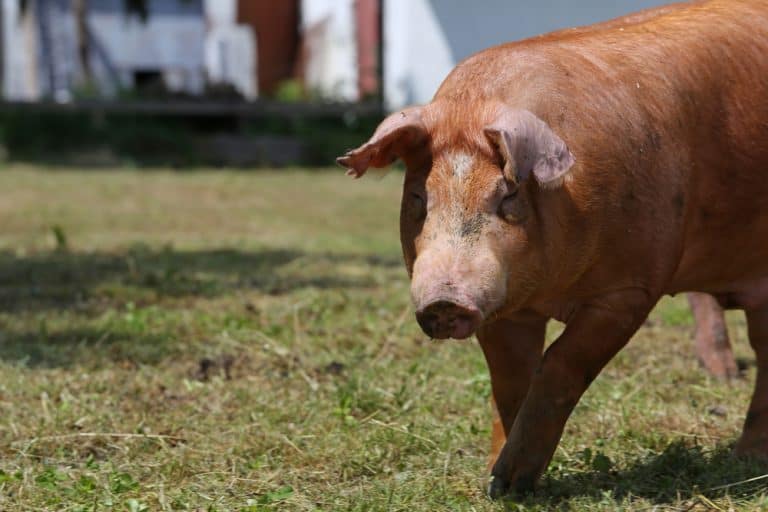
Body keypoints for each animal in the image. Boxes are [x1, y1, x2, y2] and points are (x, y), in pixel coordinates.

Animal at [340, 0, 768, 498]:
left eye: (507, 196)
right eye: (418, 199)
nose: (445, 299)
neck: (552, 292)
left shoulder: (630, 288)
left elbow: (562, 364)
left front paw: (512, 480)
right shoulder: (503, 307)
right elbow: (509, 383)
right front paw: (498, 484)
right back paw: (747, 457)